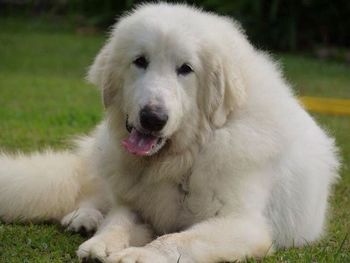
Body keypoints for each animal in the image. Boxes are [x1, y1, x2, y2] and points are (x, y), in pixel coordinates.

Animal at [0, 2, 340, 263]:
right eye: (140, 61)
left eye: (185, 69)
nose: (153, 118)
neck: (184, 157)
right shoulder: (136, 203)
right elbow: (119, 219)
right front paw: (101, 243)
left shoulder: (242, 225)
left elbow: (178, 239)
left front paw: (137, 255)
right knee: (95, 192)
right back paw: (84, 218)